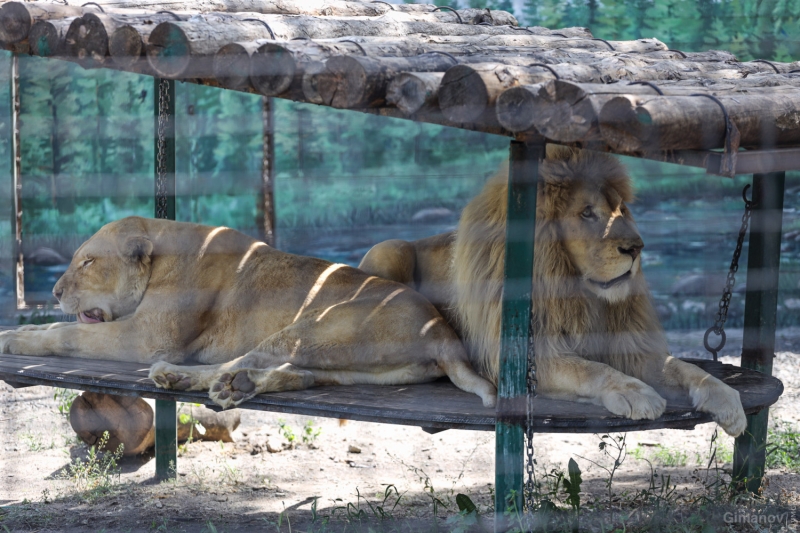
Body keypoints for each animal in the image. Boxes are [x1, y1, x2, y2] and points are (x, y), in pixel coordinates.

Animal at [0, 216, 496, 408]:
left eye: (87, 261)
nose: (56, 291)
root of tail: (443, 333)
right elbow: (60, 329)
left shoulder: (145, 338)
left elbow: (65, 335)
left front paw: (13, 338)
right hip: (350, 363)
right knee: (299, 375)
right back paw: (234, 386)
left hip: (315, 325)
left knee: (248, 360)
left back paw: (182, 378)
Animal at [362, 145, 752, 436]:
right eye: (587, 213)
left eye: (622, 209)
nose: (637, 248)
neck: (578, 293)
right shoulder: (523, 358)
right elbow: (590, 370)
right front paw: (635, 393)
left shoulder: (630, 347)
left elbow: (684, 369)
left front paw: (727, 399)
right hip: (389, 251)